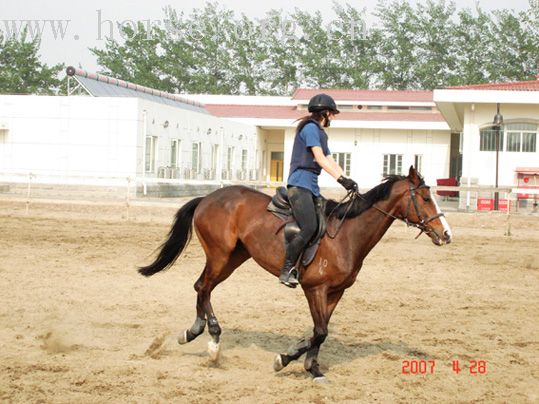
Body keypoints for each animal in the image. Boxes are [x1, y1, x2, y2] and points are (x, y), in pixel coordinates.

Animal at [139, 166, 452, 382]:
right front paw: (285, 359)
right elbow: (320, 331)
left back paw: (193, 331)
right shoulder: (314, 289)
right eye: (425, 198)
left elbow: (318, 332)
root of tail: (209, 197)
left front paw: (312, 368)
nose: (446, 234)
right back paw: (212, 341)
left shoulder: (335, 292)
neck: (347, 235)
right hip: (220, 255)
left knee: (202, 287)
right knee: (203, 287)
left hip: (233, 258)